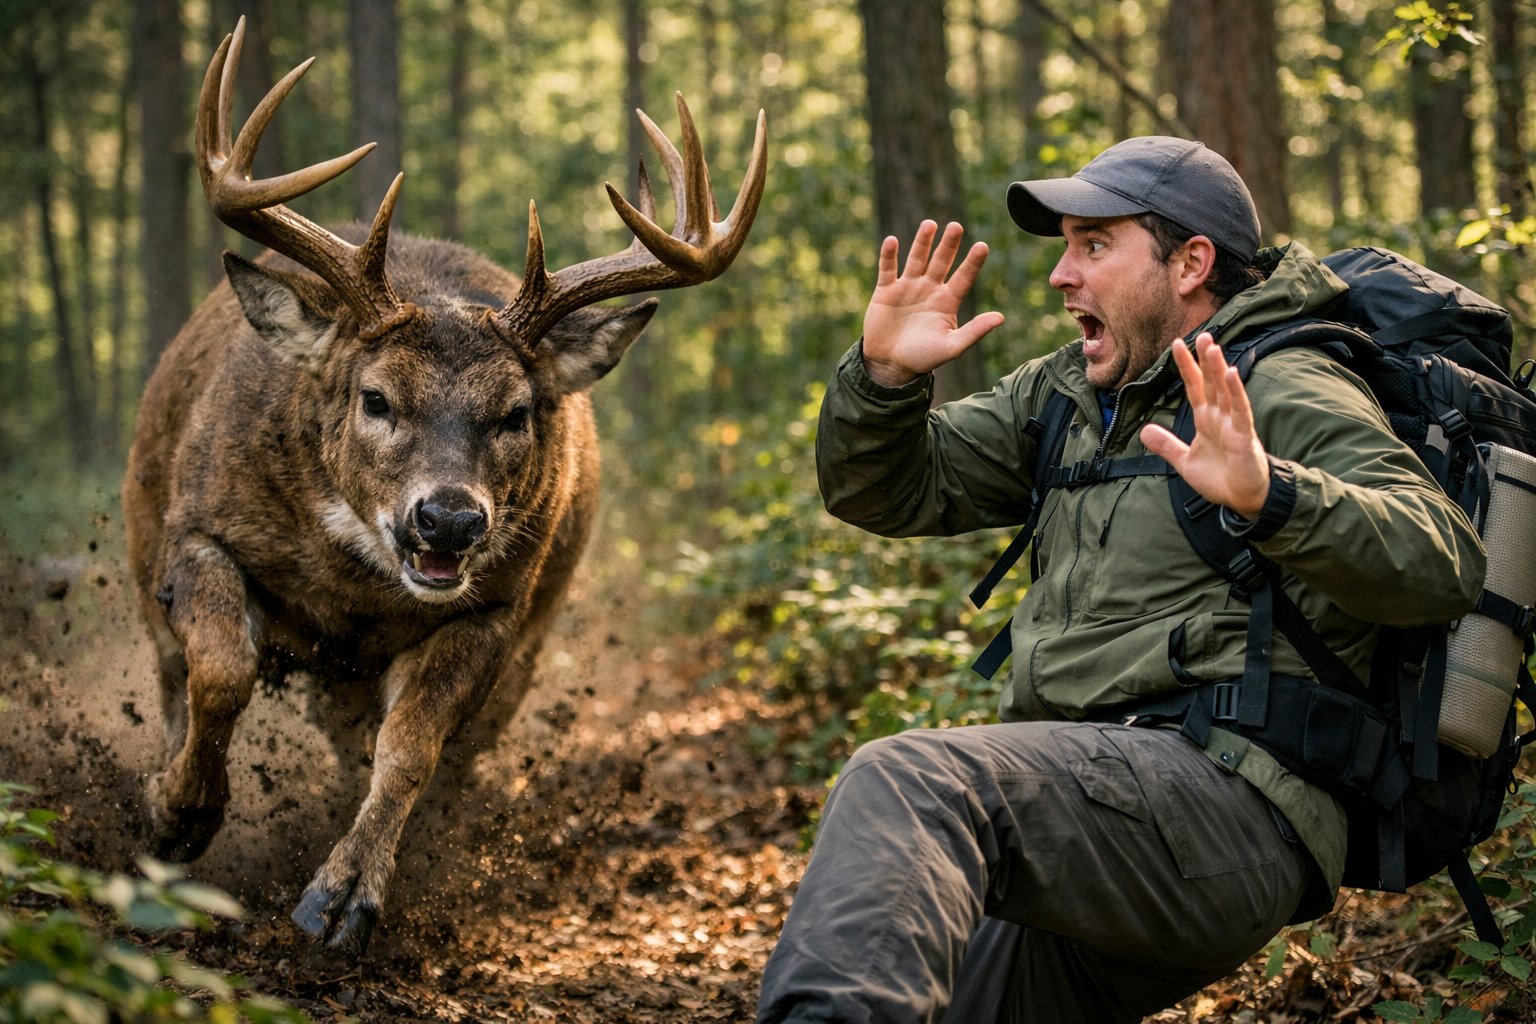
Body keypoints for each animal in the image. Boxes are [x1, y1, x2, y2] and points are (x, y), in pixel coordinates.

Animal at [121, 18, 766, 956]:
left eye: (517, 413)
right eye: (376, 397)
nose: (451, 519)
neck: (351, 586)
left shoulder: (491, 610)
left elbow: (413, 746)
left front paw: (345, 894)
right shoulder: (199, 532)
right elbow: (220, 671)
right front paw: (176, 813)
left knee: (428, 746)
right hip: (145, 541)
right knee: (174, 673)